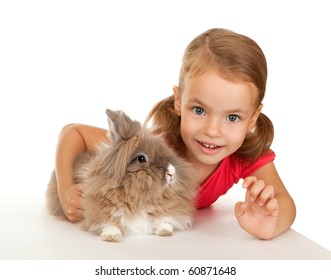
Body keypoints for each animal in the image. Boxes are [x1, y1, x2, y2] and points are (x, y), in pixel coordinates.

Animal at [45, 109, 198, 241]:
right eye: (141, 159)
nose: (171, 172)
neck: (138, 197)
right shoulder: (99, 209)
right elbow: (108, 221)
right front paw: (111, 236)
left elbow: (163, 218)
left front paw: (165, 230)